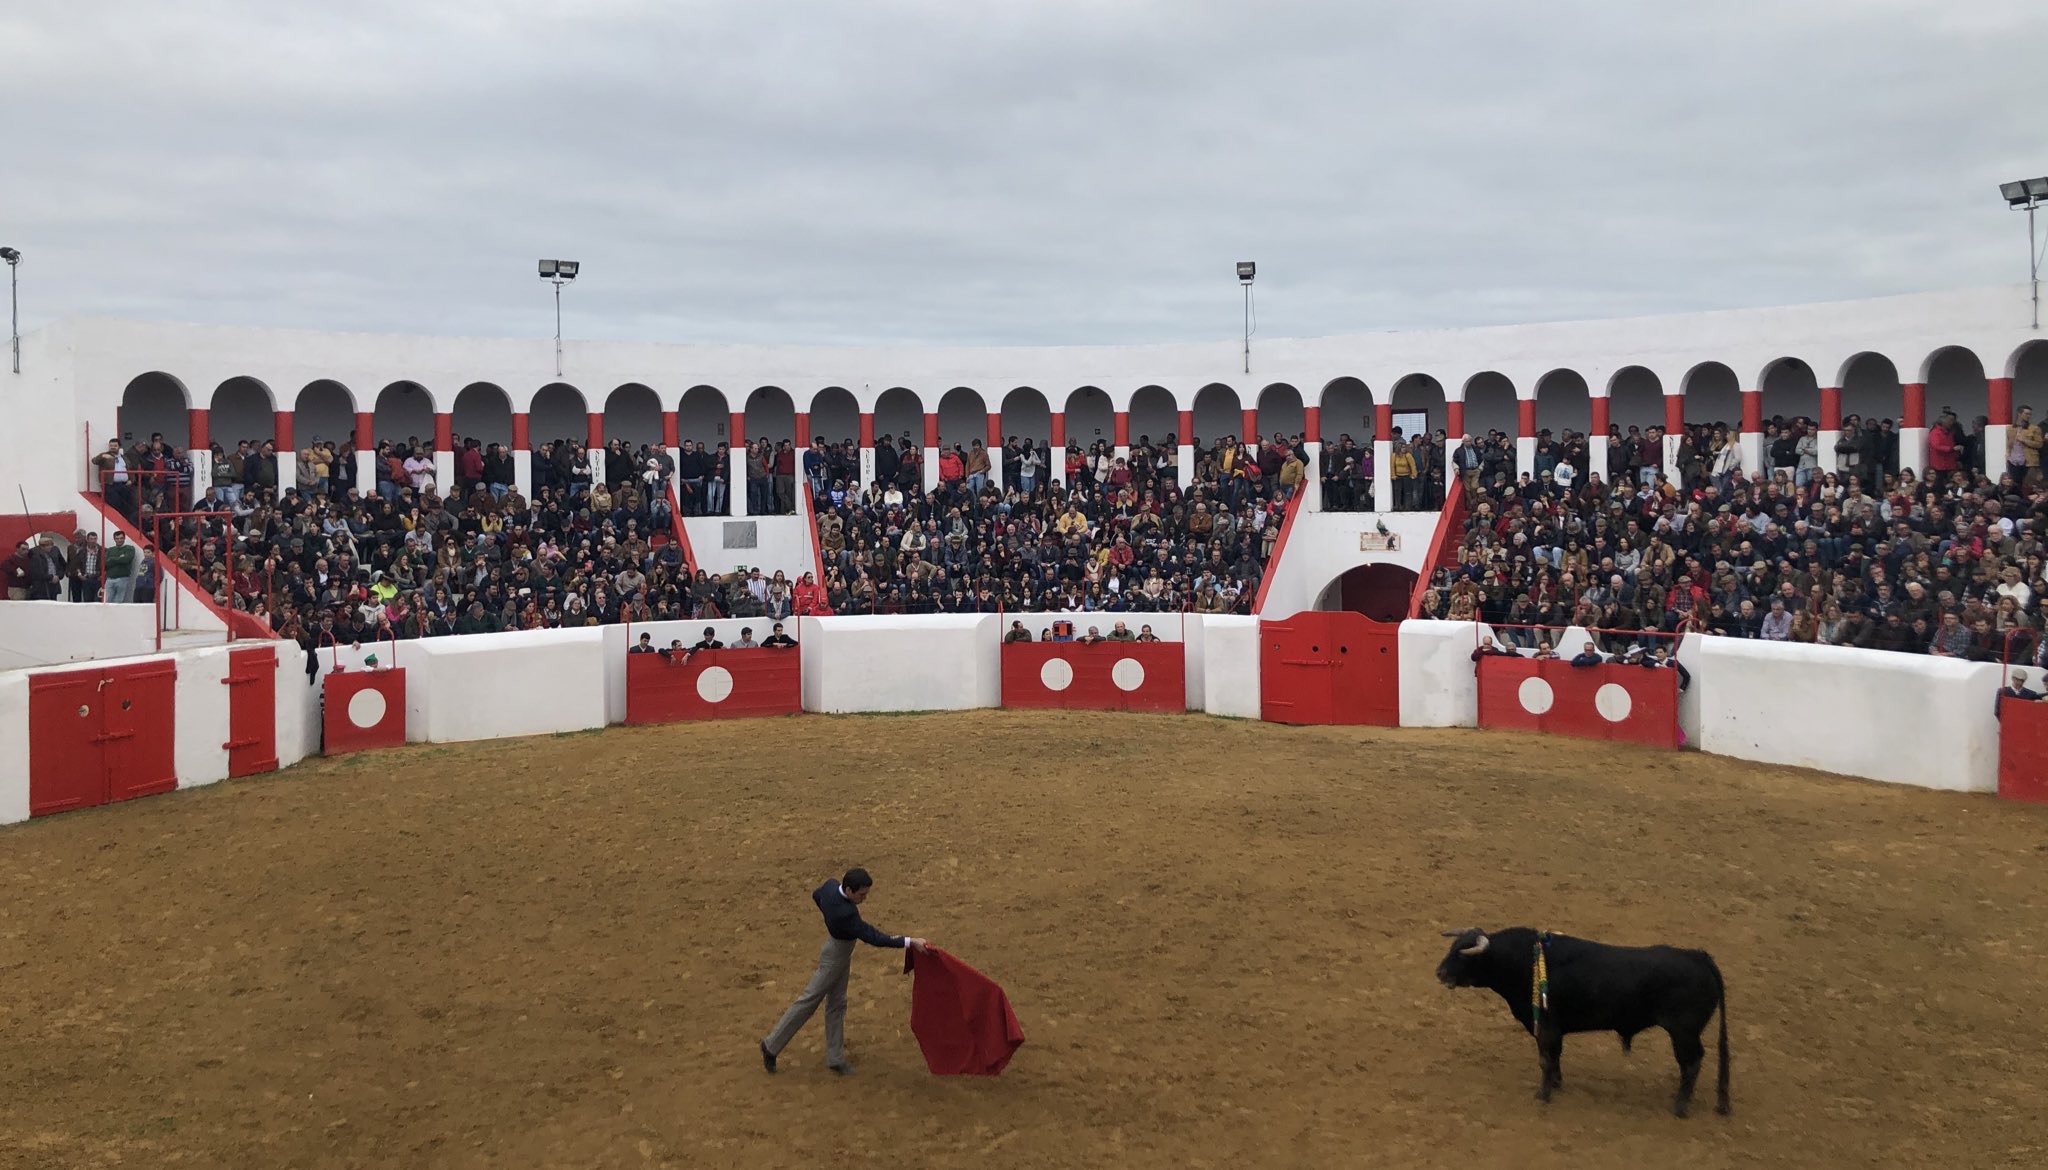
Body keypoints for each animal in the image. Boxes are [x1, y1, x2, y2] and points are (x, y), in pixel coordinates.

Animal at [1441, 926, 1728, 1114]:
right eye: (1452, 948)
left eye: (1462, 954)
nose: (1439, 972)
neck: (1521, 961)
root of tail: (1699, 956)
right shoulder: (1553, 1029)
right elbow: (1555, 1056)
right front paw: (1556, 1084)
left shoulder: (1546, 1026)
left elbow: (1545, 1058)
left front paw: (1543, 1094)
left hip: (1683, 1032)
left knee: (1692, 1062)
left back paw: (1680, 1105)